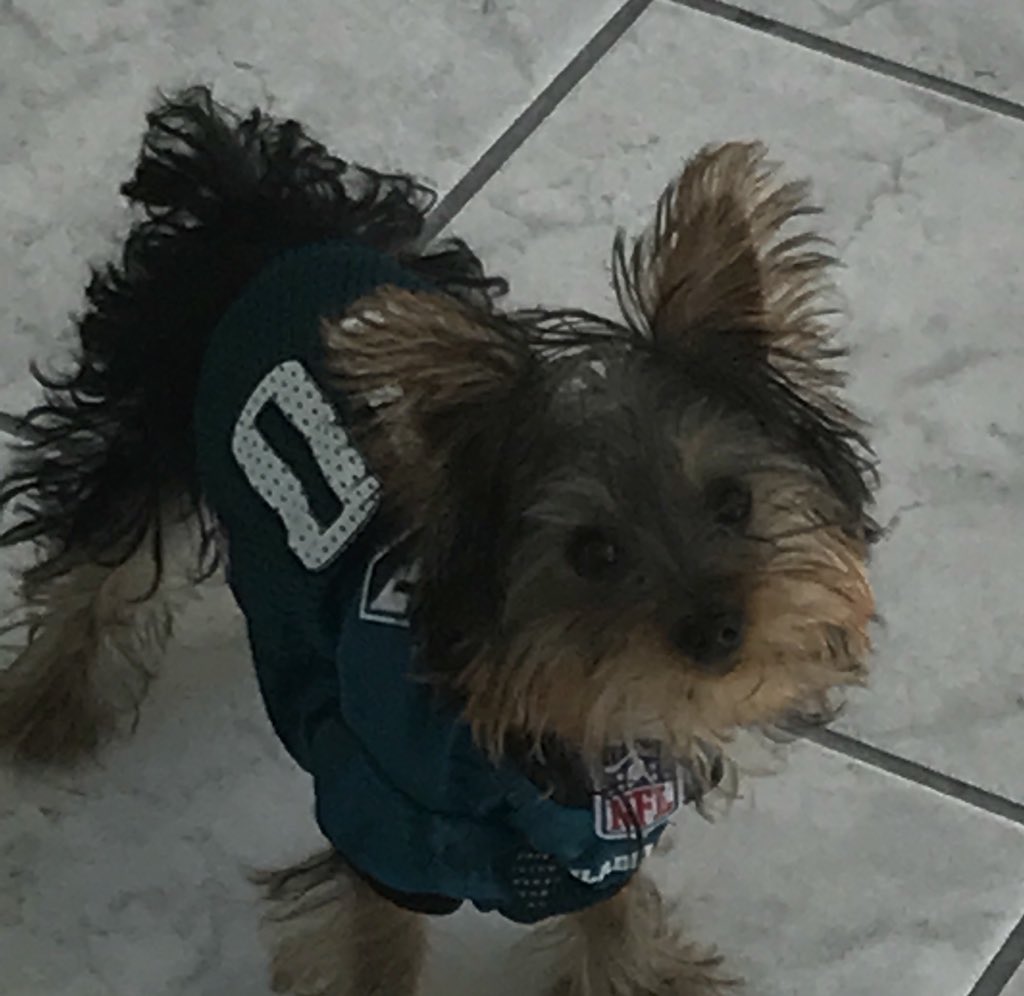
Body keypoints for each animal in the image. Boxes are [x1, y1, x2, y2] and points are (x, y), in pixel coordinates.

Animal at [0, 87, 880, 994]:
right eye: (593, 553)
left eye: (735, 501)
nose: (718, 629)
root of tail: (261, 197)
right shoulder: (386, 808)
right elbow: (375, 935)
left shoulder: (598, 828)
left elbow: (608, 904)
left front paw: (635, 973)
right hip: (147, 401)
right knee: (99, 550)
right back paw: (48, 701)